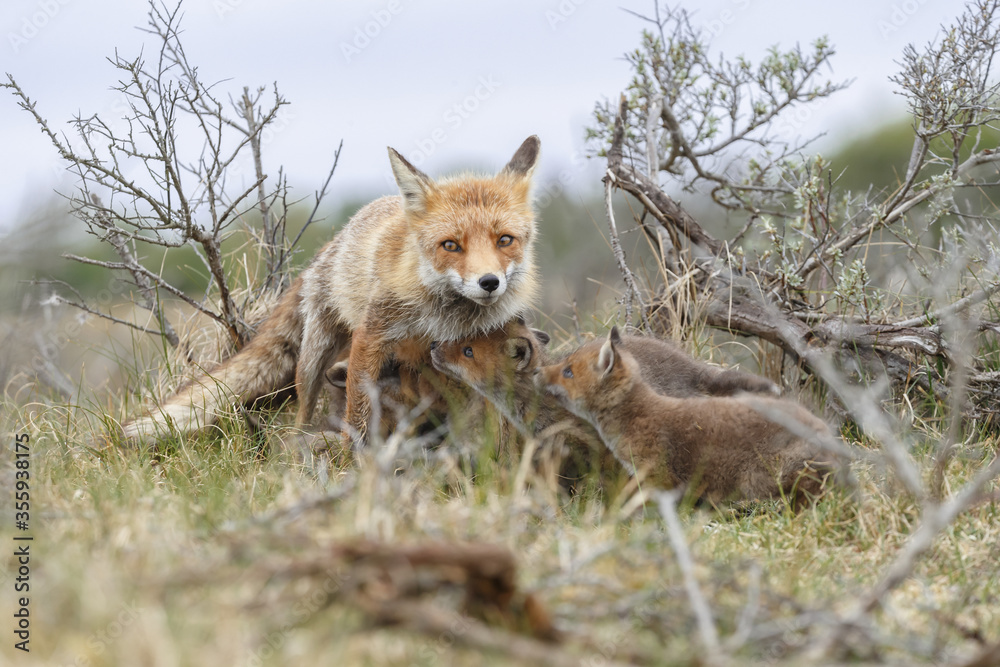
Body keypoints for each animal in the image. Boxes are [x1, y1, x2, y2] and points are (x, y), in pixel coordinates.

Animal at [122, 137, 544, 448]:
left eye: (505, 240)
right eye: (451, 245)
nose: (488, 282)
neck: (447, 313)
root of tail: (332, 244)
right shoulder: (372, 336)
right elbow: (358, 413)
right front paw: (353, 457)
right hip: (315, 357)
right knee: (302, 409)